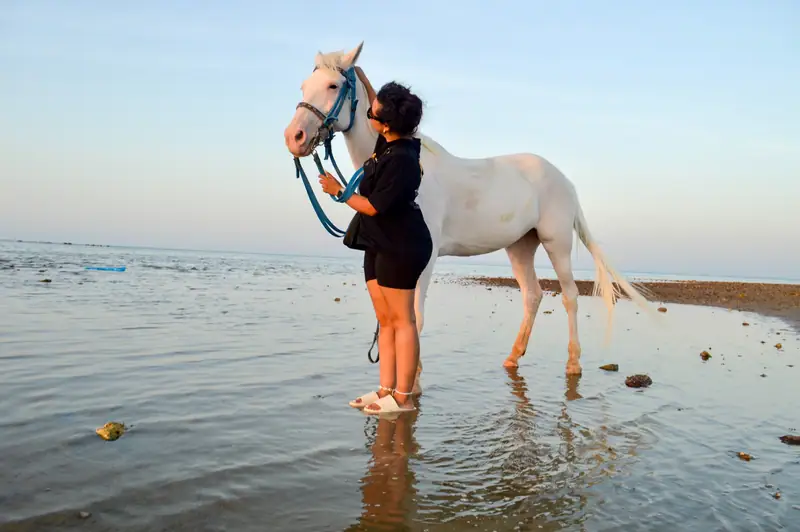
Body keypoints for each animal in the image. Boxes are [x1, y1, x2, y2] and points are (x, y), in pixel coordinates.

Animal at [283, 42, 655, 383]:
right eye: (303, 86)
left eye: (334, 86)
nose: (294, 137)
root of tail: (564, 180)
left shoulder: (426, 258)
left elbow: (415, 315)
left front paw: (413, 382)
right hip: (520, 245)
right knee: (533, 295)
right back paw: (513, 358)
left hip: (557, 242)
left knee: (570, 297)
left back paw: (573, 363)